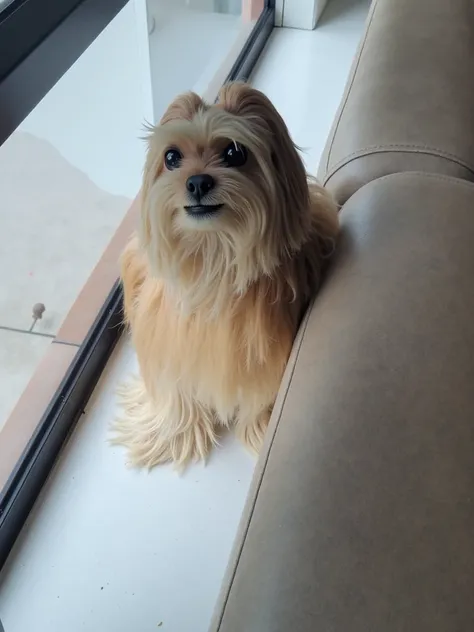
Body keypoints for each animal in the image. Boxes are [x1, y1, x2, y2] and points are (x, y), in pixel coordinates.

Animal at [113, 82, 339, 469]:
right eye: (171, 157)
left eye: (234, 153)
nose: (197, 182)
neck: (213, 259)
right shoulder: (169, 346)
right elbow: (176, 393)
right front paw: (175, 434)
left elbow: (259, 397)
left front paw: (261, 430)